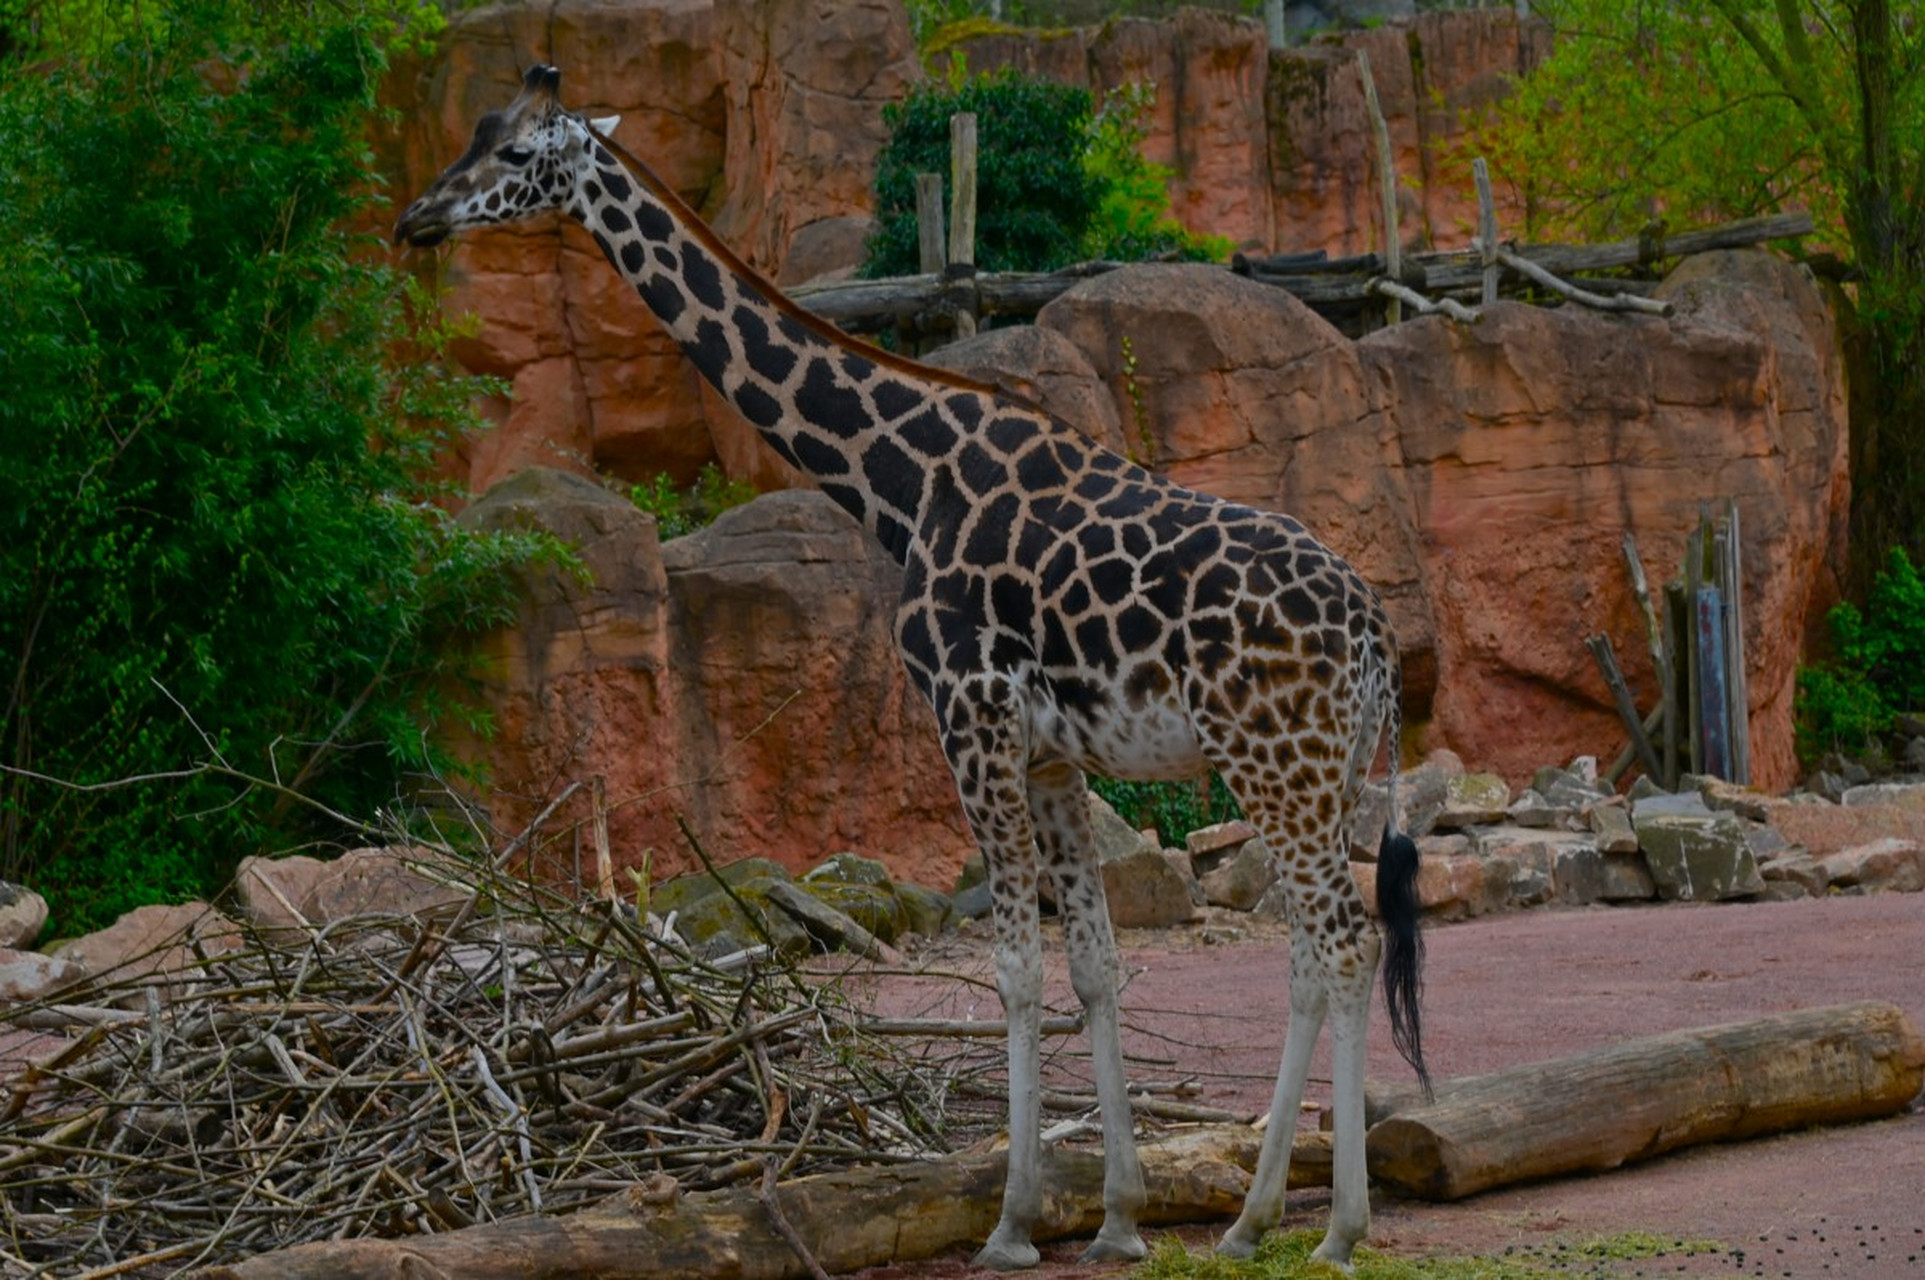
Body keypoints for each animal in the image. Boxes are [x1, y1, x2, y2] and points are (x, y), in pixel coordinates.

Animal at [398, 64, 1432, 1262]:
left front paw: (1011, 1223)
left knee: (1343, 942)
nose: (415, 218)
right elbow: (1092, 967)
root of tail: (1371, 630)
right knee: (1314, 951)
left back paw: (1335, 1229)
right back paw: (1251, 1219)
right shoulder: (1049, 753)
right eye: (474, 134)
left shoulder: (966, 713)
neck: (900, 481)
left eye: (517, 155)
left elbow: (1015, 970)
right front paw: (1118, 1219)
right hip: (1319, 772)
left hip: (1274, 760)